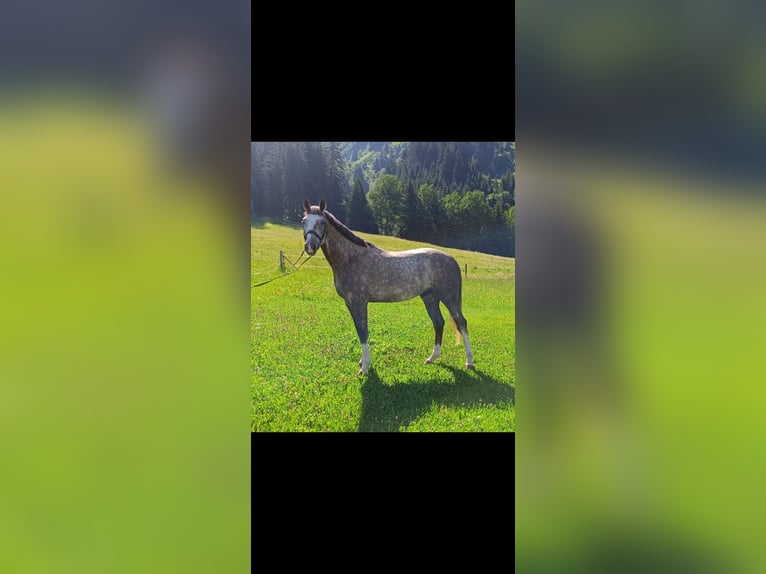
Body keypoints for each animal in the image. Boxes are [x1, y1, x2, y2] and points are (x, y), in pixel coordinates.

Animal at [301, 198, 474, 375]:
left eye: (322, 223)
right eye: (304, 221)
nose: (310, 247)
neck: (351, 258)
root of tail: (451, 259)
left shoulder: (359, 302)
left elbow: (363, 331)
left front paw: (364, 367)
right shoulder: (350, 303)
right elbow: (360, 330)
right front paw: (363, 362)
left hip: (449, 297)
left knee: (461, 322)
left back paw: (469, 362)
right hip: (430, 297)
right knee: (438, 323)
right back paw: (432, 358)